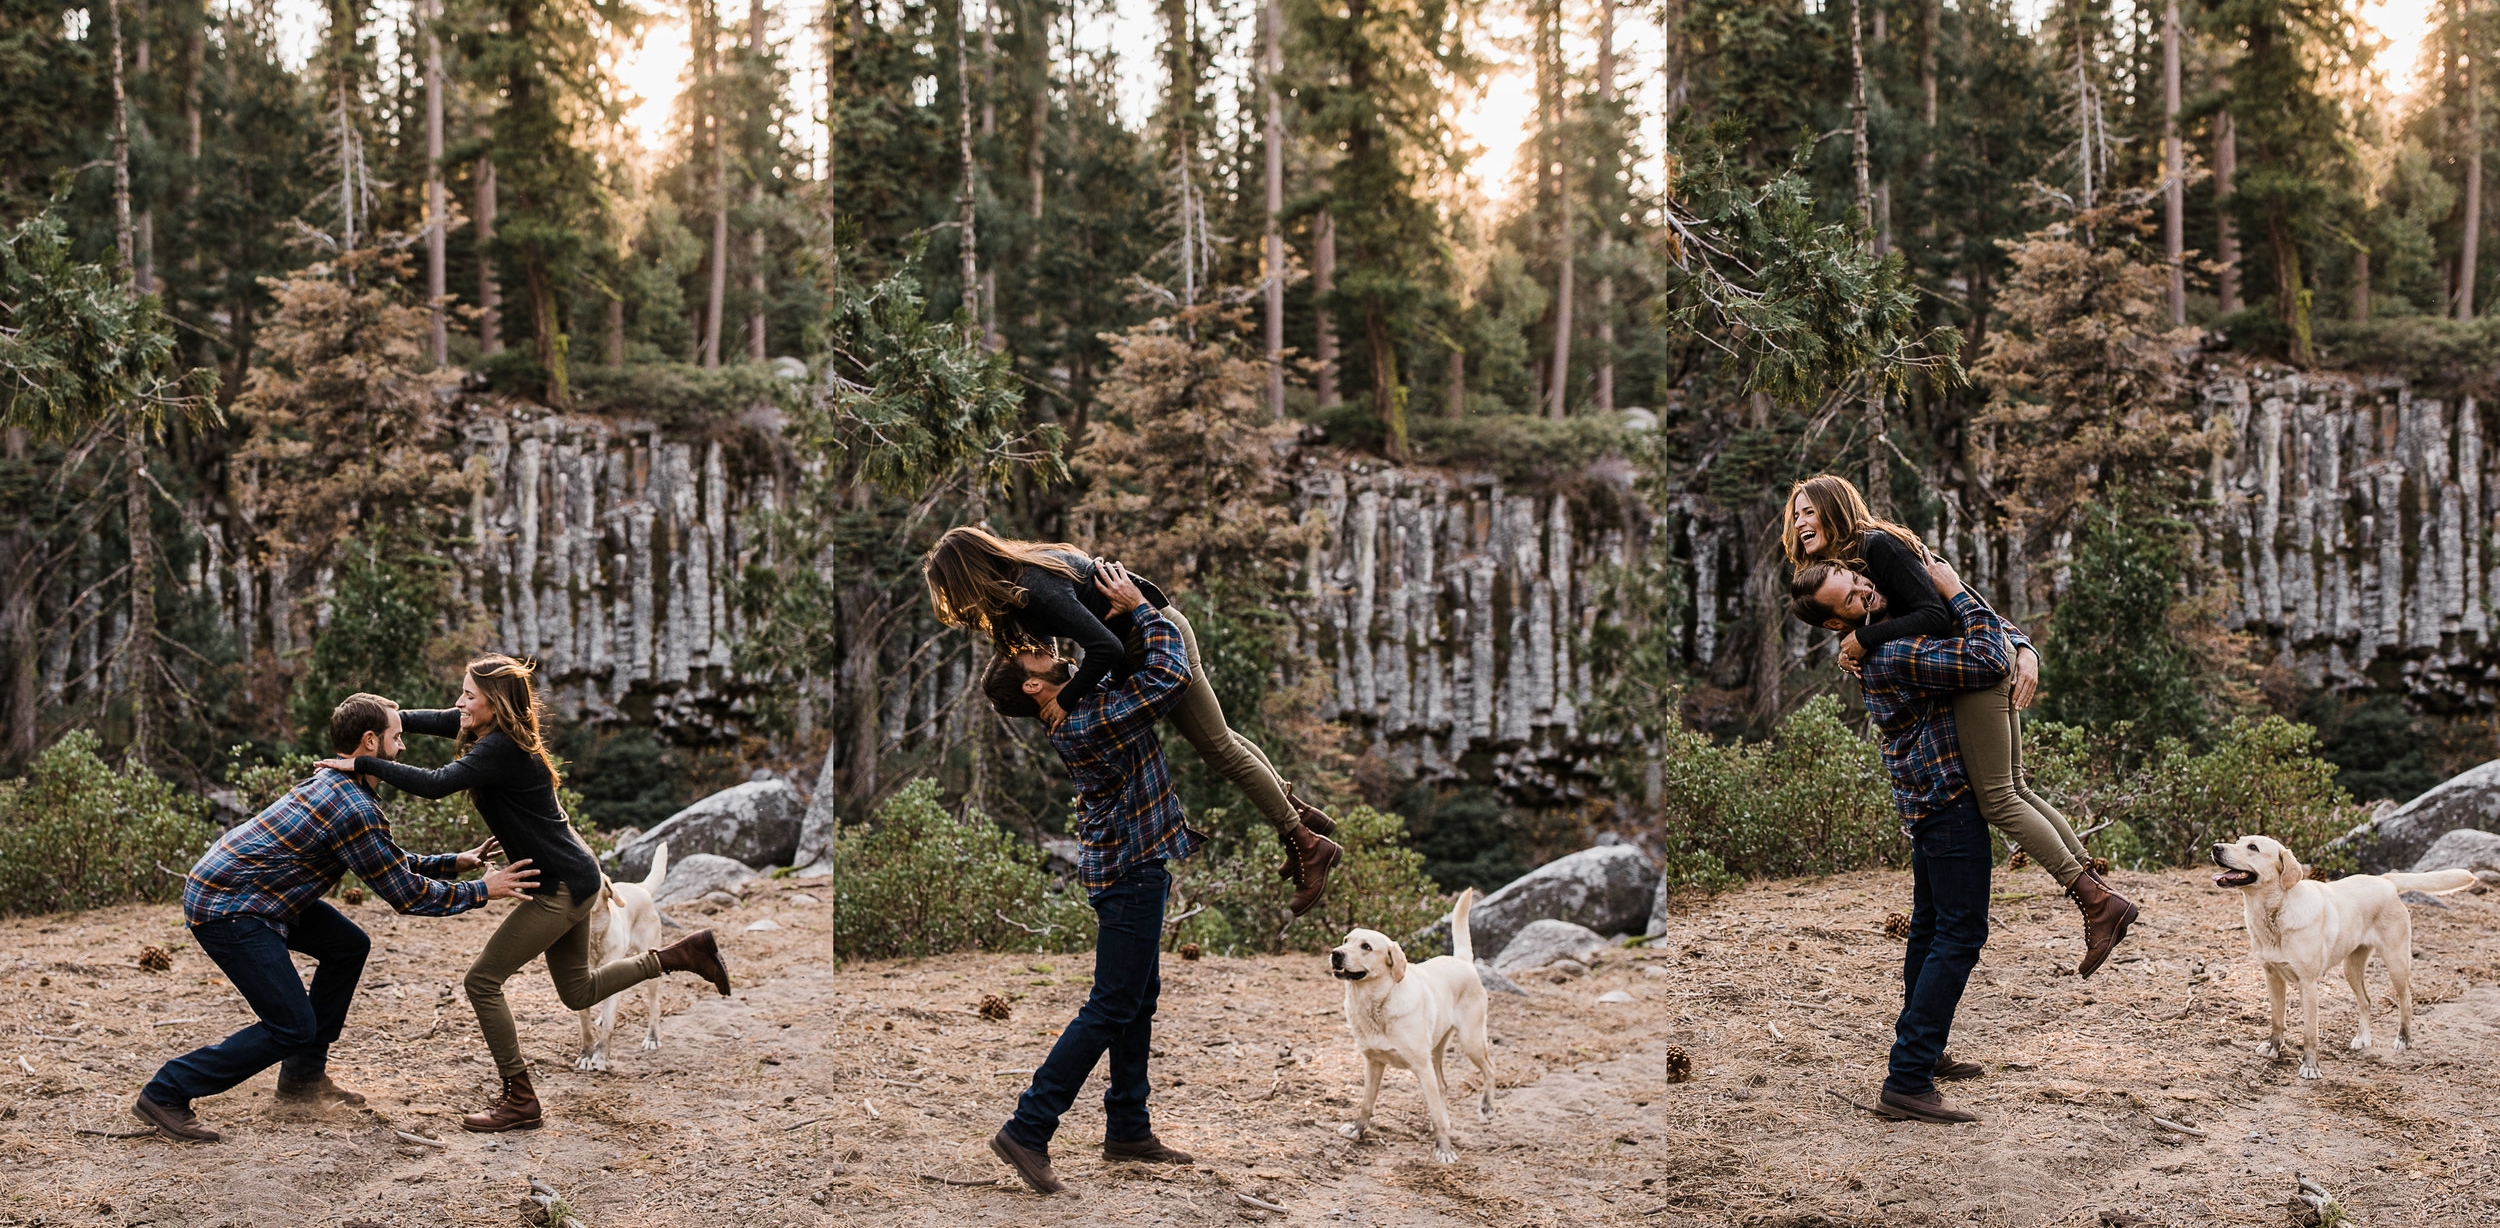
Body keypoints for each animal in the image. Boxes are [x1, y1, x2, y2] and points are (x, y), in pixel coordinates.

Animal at [577, 840, 675, 1070]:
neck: (593, 940)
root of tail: (640, 887)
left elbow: (609, 1024)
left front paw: (601, 1057)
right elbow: (585, 1024)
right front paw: (586, 1054)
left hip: (650, 967)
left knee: (654, 1004)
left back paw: (652, 1037)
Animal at [1320, 895, 1490, 1165]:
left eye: (1366, 946)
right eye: (1346, 940)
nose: (1336, 954)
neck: (1376, 1004)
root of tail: (1462, 961)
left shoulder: (1421, 1067)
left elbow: (1434, 1111)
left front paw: (1444, 1149)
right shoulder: (1373, 1062)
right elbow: (1366, 1103)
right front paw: (1358, 1129)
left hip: (1470, 1041)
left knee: (1490, 1070)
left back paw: (1486, 1108)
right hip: (1436, 1052)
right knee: (1443, 1086)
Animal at [2210, 830, 2480, 1080]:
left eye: (2253, 847)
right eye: (2238, 840)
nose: (2215, 847)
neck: (2275, 912)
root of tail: (2385, 880)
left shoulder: (2308, 984)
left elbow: (2310, 1033)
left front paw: (2310, 1066)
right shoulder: (2272, 977)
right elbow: (2277, 1019)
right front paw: (2274, 1048)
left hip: (2396, 962)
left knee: (2406, 1000)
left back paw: (2404, 1038)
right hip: (2351, 968)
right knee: (2366, 1001)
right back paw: (2363, 1039)